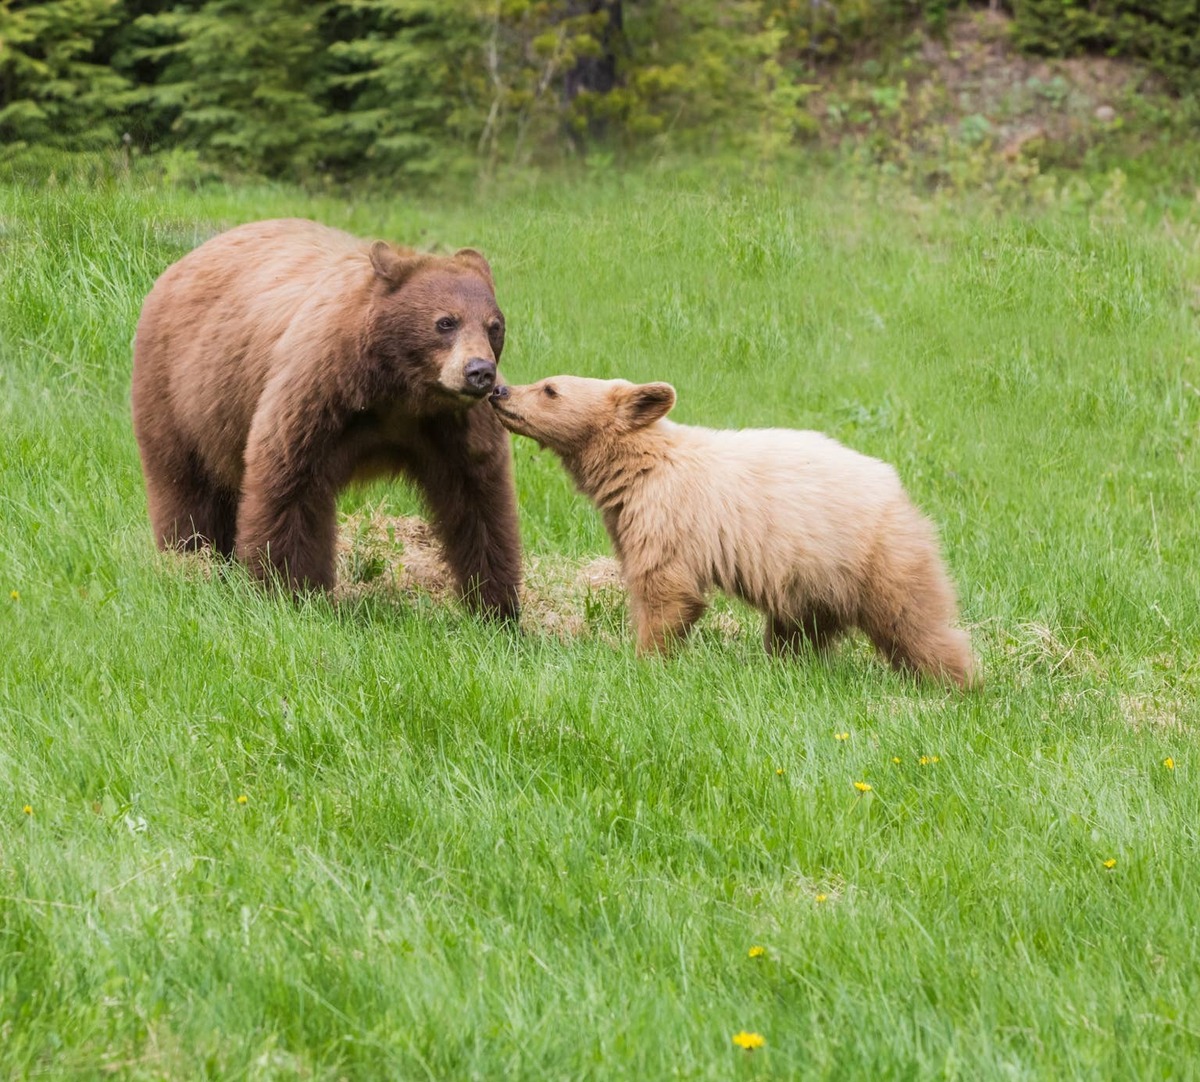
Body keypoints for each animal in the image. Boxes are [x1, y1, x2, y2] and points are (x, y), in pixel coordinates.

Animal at [132, 218, 521, 618]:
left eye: (494, 326)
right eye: (445, 322)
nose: (479, 372)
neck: (398, 392)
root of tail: (186, 260)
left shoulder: (452, 427)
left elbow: (479, 502)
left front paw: (497, 607)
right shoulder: (320, 393)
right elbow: (290, 483)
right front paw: (289, 590)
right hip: (182, 395)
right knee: (185, 483)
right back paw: (191, 558)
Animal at [490, 375, 977, 686]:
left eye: (550, 388)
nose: (499, 389)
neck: (640, 463)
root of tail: (900, 493)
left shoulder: (667, 513)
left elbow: (664, 587)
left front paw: (647, 659)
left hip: (874, 556)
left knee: (913, 622)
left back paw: (957, 684)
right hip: (812, 580)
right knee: (798, 632)